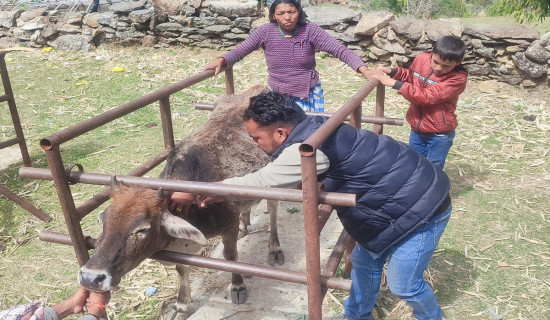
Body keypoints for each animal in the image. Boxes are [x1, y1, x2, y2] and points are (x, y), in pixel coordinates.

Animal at [78, 85, 286, 320]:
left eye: (143, 229)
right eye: (102, 221)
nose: (90, 277)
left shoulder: (228, 227)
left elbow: (231, 256)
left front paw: (237, 286)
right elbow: (182, 269)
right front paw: (181, 305)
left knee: (273, 210)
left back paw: (274, 248)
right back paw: (245, 225)